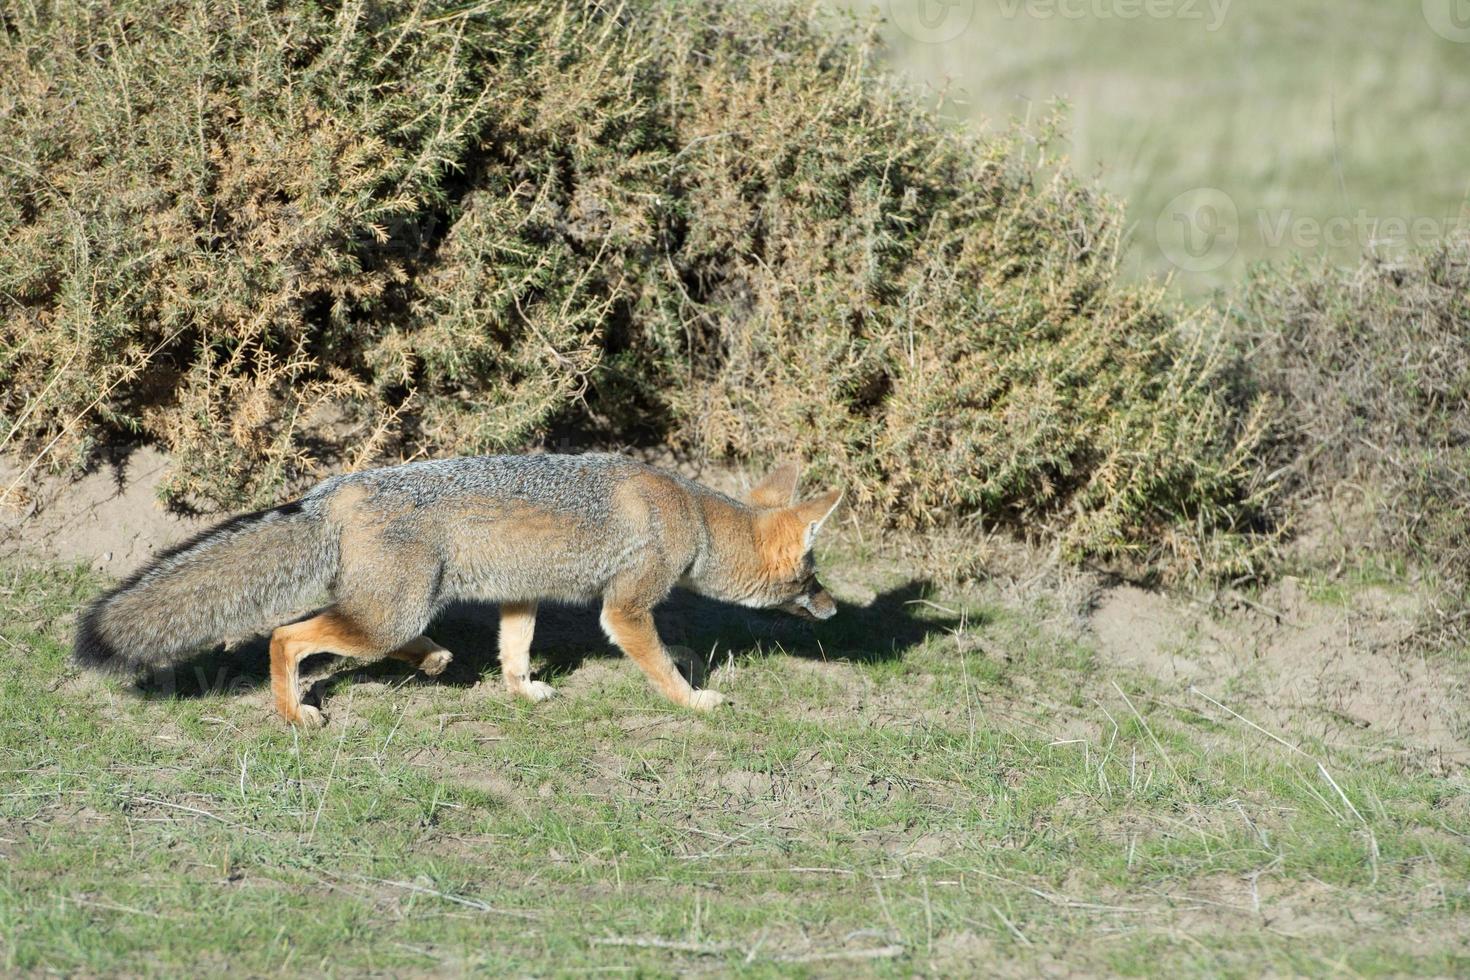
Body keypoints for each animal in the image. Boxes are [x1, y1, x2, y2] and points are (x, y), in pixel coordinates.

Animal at [74, 455, 846, 725]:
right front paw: (692, 701)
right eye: (811, 576)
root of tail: (333, 491)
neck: (693, 514)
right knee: (286, 635)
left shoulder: (521, 594)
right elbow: (657, 664)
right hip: (389, 613)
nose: (835, 608)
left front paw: (521, 691)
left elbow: (515, 649)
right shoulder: (625, 609)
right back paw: (296, 715)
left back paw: (434, 659)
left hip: (399, 605)